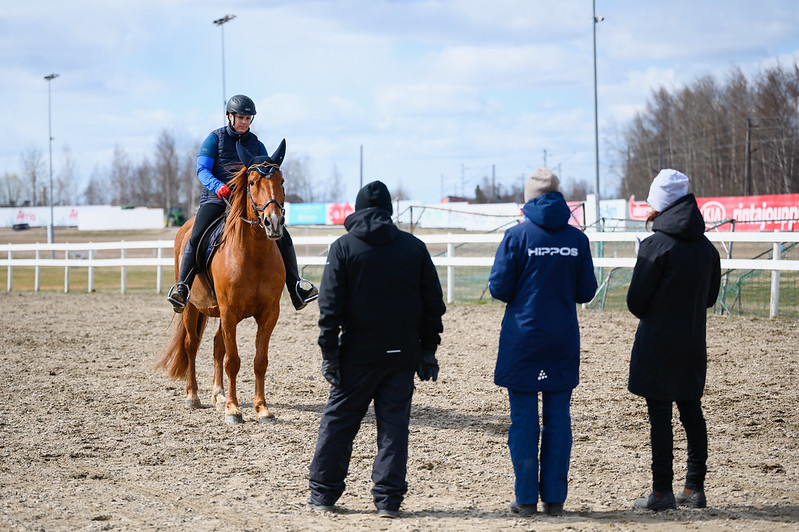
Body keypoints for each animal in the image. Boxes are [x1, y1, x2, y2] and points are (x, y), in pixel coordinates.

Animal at [156, 140, 288, 424]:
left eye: (281, 181)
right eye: (252, 182)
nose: (273, 222)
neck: (254, 256)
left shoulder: (269, 313)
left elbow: (260, 361)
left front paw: (262, 409)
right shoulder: (230, 312)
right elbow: (233, 361)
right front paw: (233, 409)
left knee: (217, 345)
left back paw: (217, 395)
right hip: (192, 307)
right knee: (191, 345)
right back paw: (193, 396)